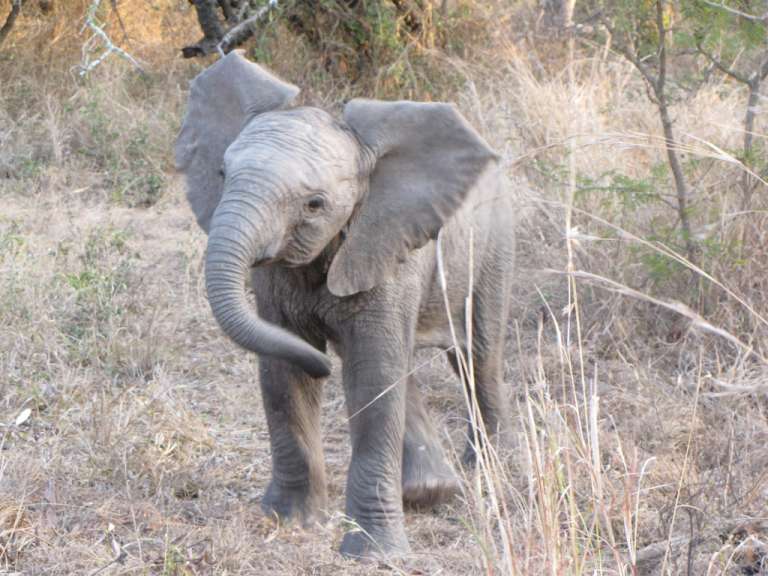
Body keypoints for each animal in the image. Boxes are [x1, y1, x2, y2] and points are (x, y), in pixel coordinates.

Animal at [175, 51, 516, 560]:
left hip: (492, 246)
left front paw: (374, 553)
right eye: (221, 175)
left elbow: (371, 379)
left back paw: (484, 474)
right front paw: (291, 522)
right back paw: (430, 492)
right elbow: (283, 374)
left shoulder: (386, 243)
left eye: (315, 204)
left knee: (477, 356)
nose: (323, 365)